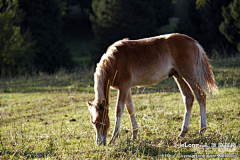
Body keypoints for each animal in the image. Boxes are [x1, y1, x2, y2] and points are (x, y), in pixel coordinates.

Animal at [86, 33, 218, 145]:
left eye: (104, 121)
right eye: (93, 122)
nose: (99, 142)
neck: (115, 60)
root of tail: (193, 42)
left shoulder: (124, 87)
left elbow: (119, 110)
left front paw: (113, 138)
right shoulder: (126, 88)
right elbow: (130, 108)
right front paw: (134, 135)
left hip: (188, 74)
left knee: (200, 95)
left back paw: (202, 130)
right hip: (178, 75)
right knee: (188, 98)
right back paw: (182, 133)